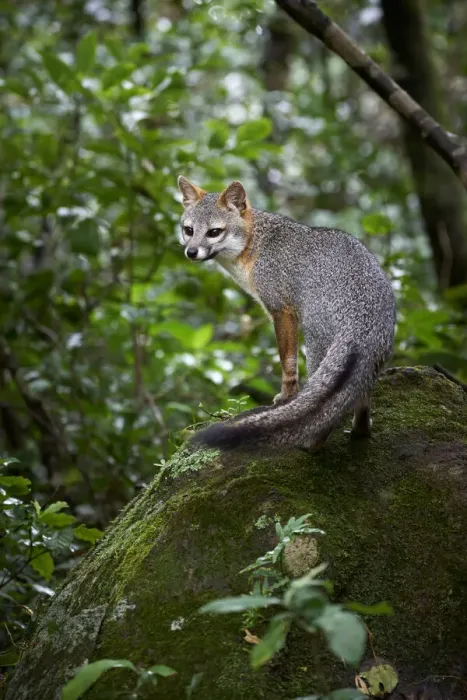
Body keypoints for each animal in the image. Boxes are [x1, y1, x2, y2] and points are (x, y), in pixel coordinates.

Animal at [177, 176, 396, 452]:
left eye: (214, 232)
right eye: (189, 230)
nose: (191, 252)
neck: (257, 244)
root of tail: (363, 320)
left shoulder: (281, 310)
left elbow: (286, 361)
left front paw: (286, 396)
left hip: (316, 351)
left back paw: (311, 444)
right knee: (359, 403)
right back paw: (359, 431)